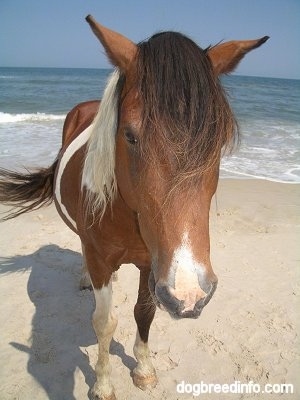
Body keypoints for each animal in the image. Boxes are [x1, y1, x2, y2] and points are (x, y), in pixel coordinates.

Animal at [0, 15, 268, 400]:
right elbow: (104, 322)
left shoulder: (150, 264)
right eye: (129, 135)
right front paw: (102, 385)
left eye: (217, 140)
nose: (190, 293)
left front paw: (143, 369)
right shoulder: (103, 257)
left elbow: (144, 312)